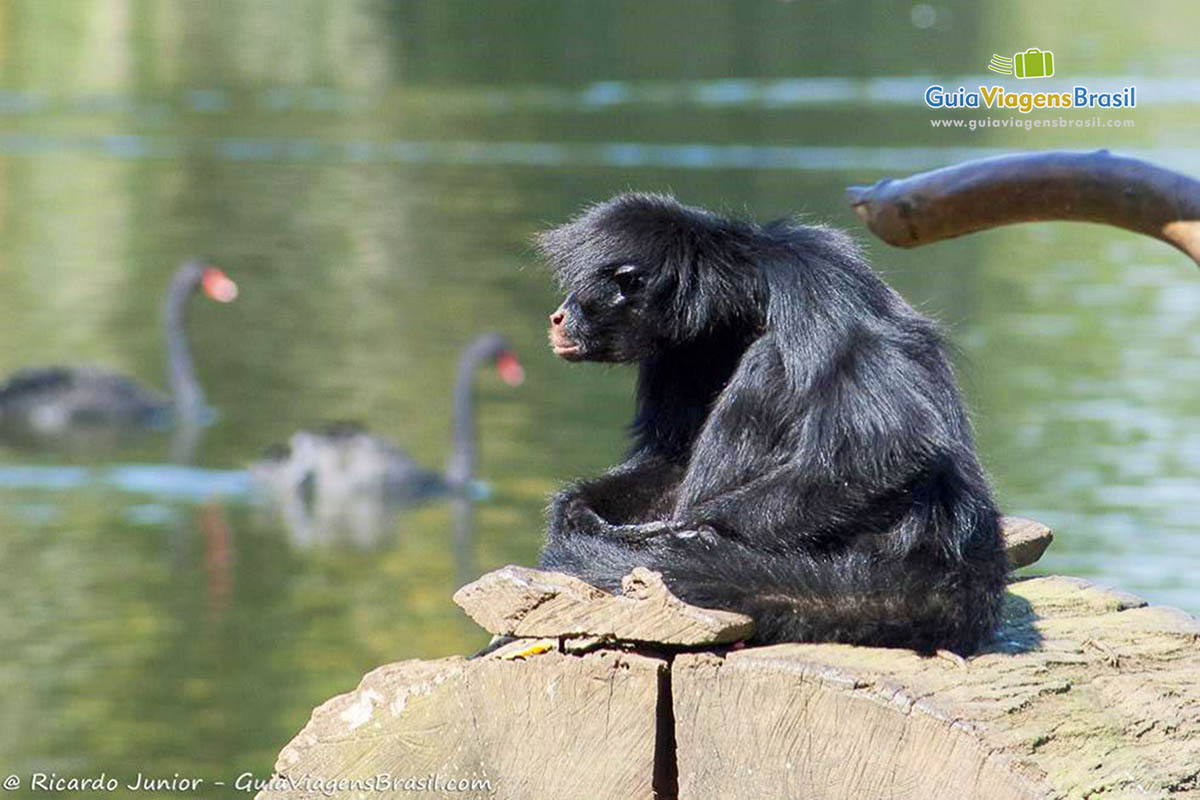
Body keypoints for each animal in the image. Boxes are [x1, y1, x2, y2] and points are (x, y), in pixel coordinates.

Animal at [540, 191, 1008, 657]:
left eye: (579, 295)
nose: (557, 316)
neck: (744, 300)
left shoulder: (810, 281)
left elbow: (896, 445)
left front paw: (682, 535)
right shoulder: (681, 349)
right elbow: (672, 461)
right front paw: (579, 509)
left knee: (769, 363)